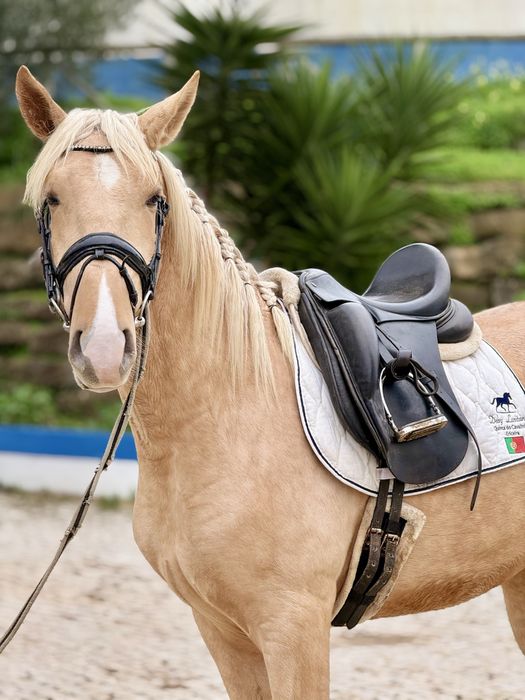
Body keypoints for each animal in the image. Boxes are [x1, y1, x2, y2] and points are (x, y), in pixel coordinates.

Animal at [13, 65, 525, 698]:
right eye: (52, 199)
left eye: (154, 200)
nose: (105, 345)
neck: (229, 414)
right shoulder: (221, 630)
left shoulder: (293, 629)